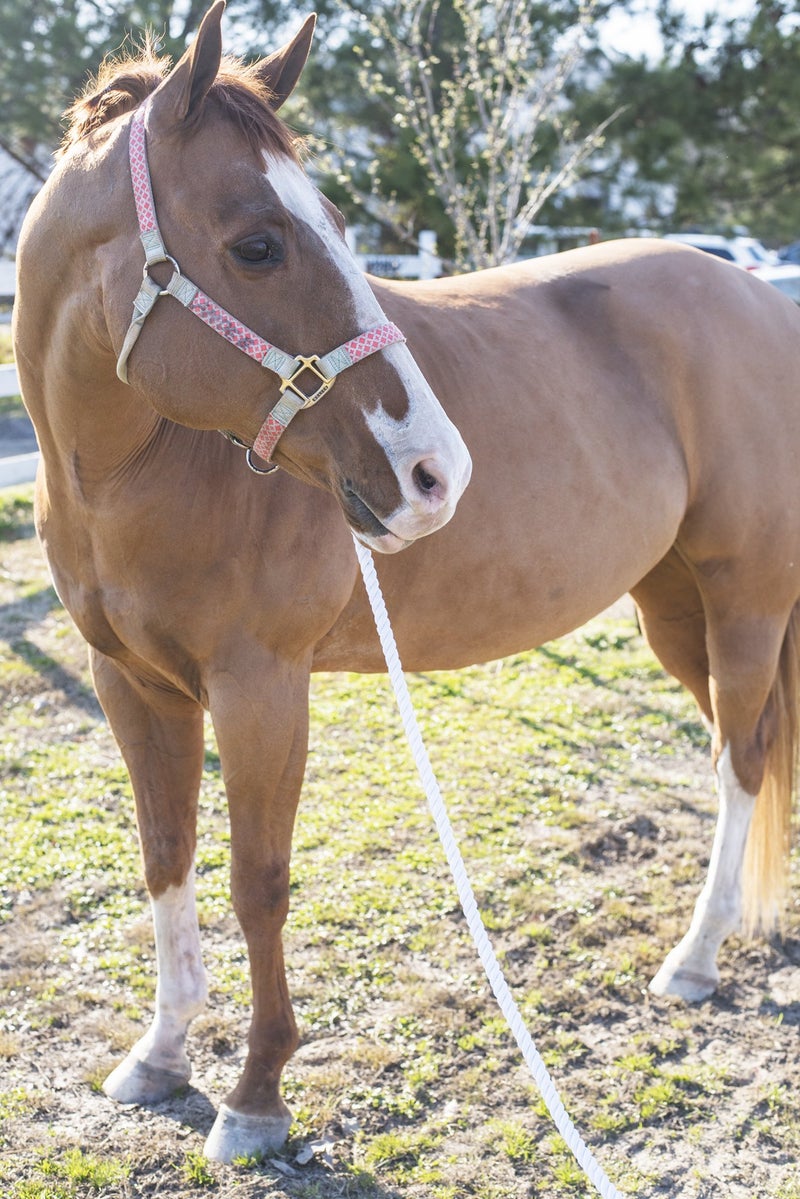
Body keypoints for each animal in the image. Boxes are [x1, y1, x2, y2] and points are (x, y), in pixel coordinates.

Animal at [14, 0, 800, 1164]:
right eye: (258, 243)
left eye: (339, 227)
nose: (438, 471)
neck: (135, 467)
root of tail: (758, 301)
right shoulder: (132, 685)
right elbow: (166, 856)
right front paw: (159, 1055)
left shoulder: (260, 687)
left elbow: (257, 881)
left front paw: (254, 1094)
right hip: (672, 609)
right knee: (738, 750)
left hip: (744, 598)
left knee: (741, 758)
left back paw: (695, 959)